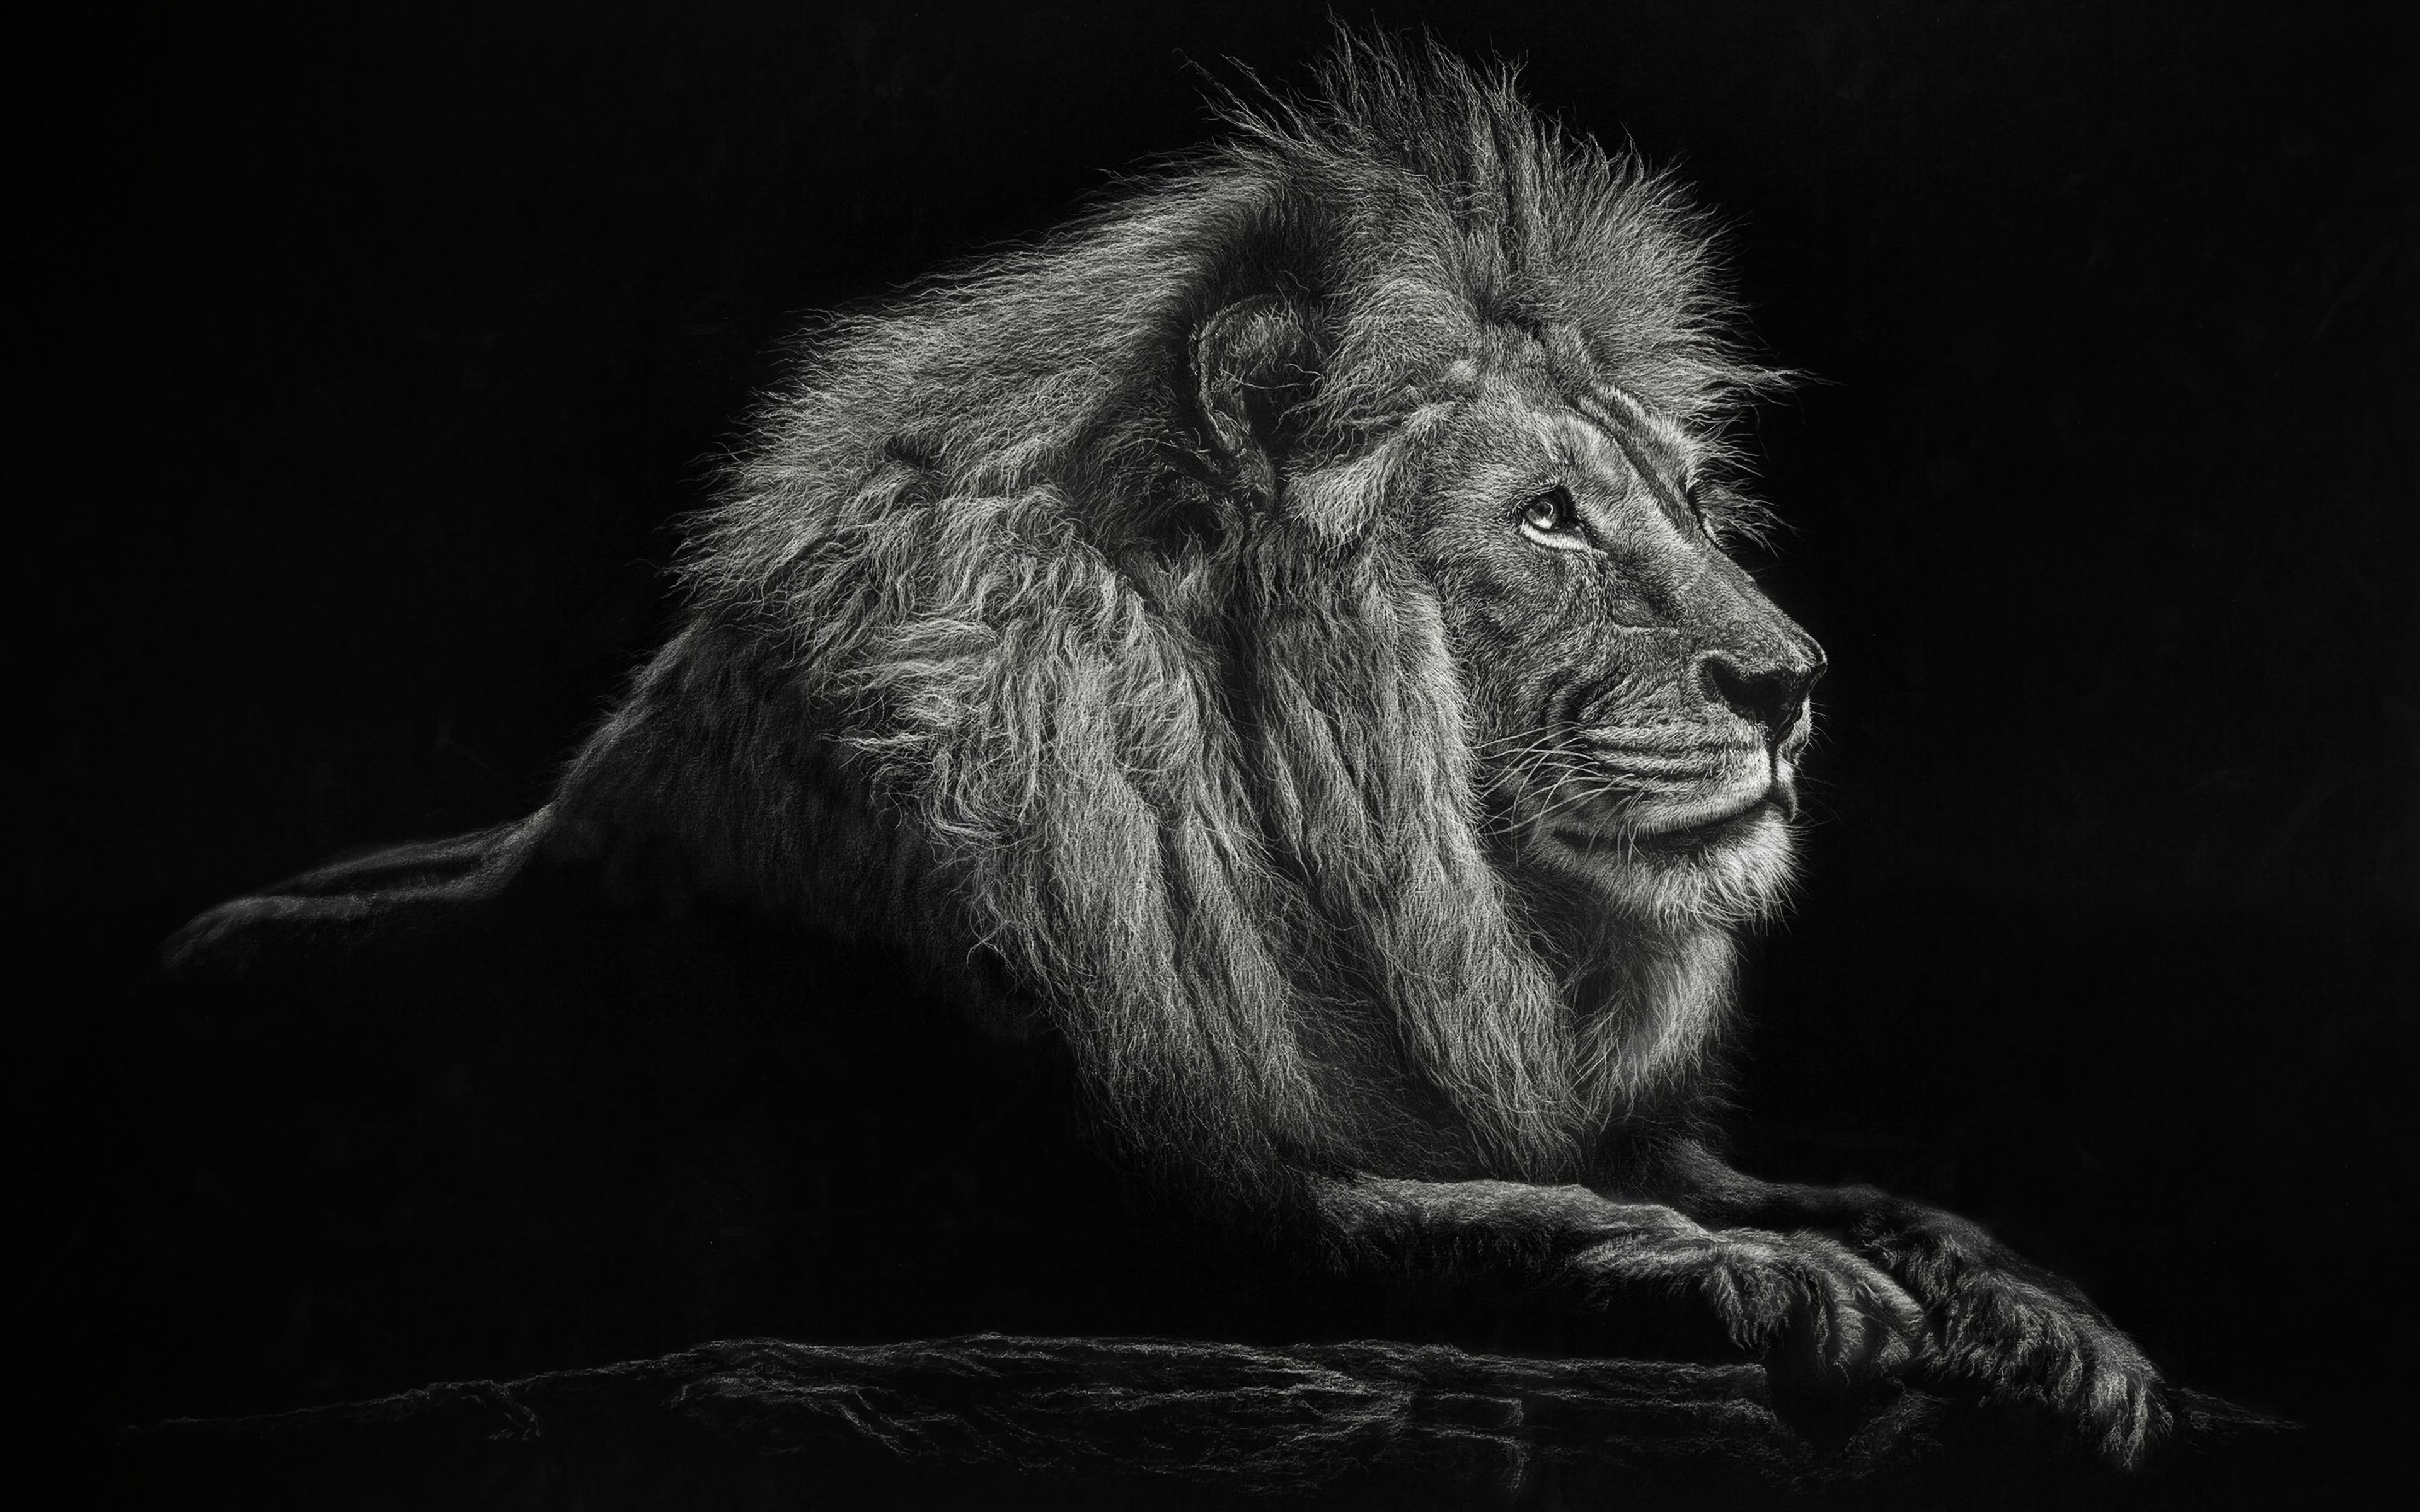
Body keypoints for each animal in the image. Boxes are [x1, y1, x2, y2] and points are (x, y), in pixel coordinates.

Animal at [165, 34, 2168, 1466]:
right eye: (1547, 518)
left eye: (1682, 500)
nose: (1792, 680)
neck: (1368, 897)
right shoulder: (1098, 1214)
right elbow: (1472, 1229)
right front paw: (1762, 1276)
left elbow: (1854, 1192)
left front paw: (2055, 1320)